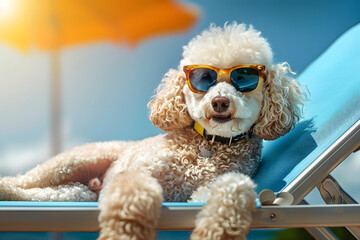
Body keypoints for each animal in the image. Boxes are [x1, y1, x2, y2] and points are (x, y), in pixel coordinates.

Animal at [0, 23, 306, 240]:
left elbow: (232, 189)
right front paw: (126, 232)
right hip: (71, 162)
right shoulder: (137, 173)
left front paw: (217, 231)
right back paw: (6, 187)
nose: (220, 101)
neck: (208, 146)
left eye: (243, 78)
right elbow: (135, 193)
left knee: (53, 195)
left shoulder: (225, 183)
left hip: (78, 193)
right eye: (203, 79)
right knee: (25, 181)